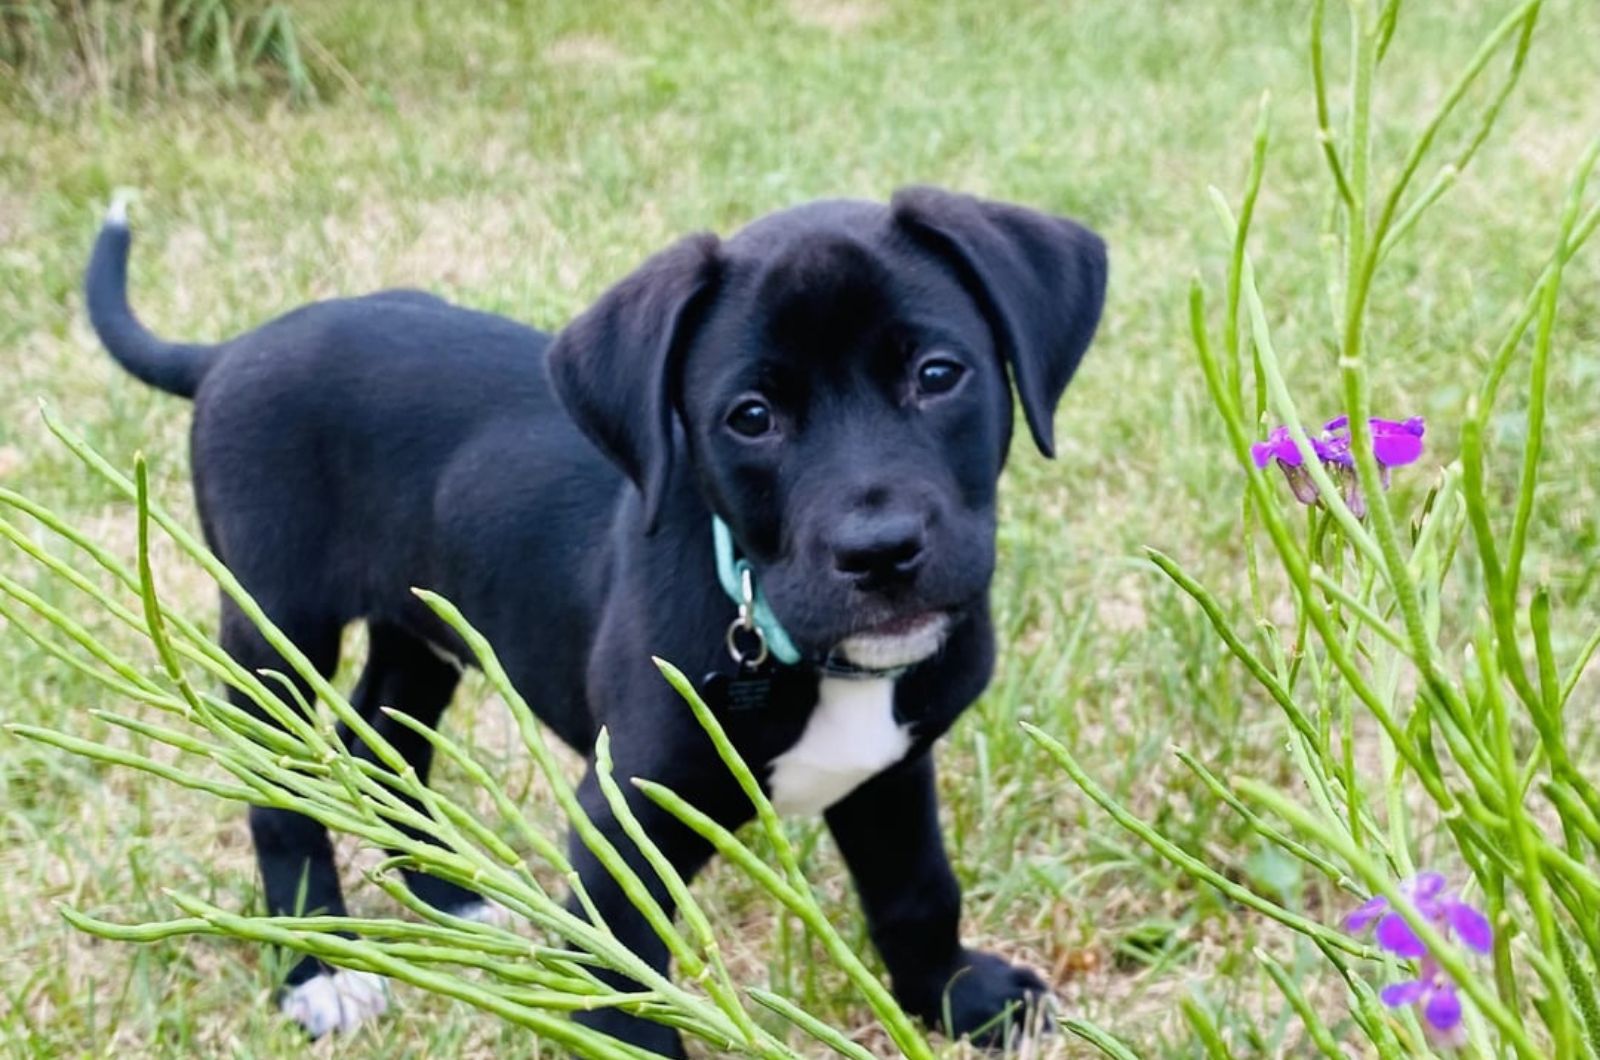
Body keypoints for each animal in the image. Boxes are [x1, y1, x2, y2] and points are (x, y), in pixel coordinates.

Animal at [87, 191, 1107, 1056]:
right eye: (751, 417)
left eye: (938, 374)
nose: (881, 552)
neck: (772, 625)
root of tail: (232, 350)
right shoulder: (621, 834)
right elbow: (633, 1001)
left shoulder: (890, 771)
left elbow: (917, 891)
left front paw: (963, 1003)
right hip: (278, 627)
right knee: (282, 789)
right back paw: (318, 962)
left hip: (423, 623)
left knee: (380, 737)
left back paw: (446, 892)